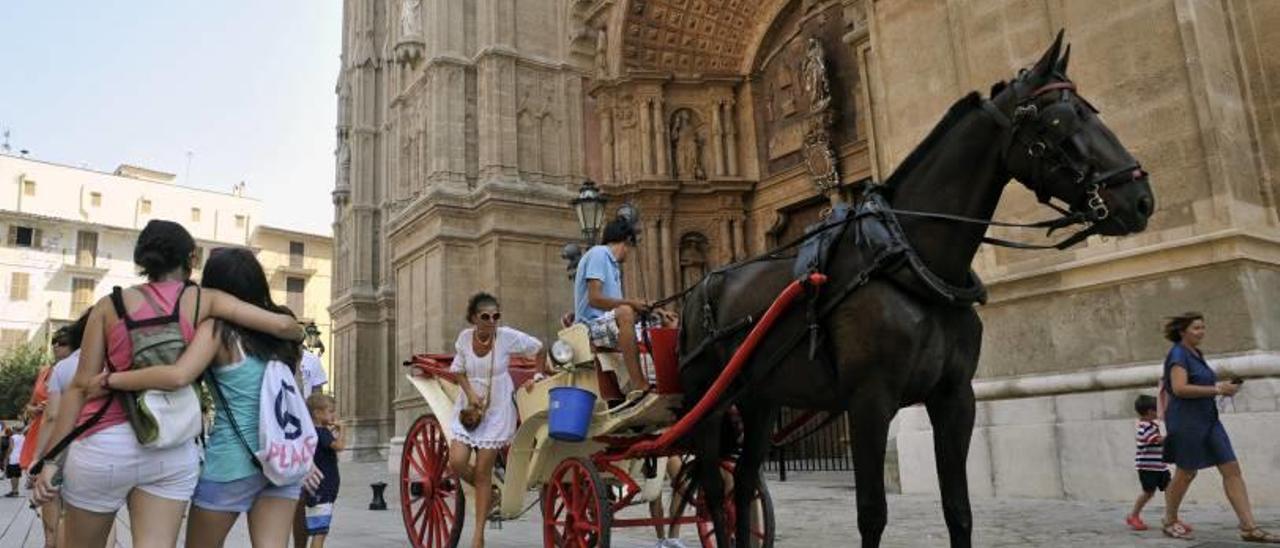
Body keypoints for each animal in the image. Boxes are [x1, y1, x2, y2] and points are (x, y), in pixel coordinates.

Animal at [680, 31, 1162, 548]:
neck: (907, 259)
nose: (1141, 199)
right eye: (1060, 120)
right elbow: (871, 512)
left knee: (744, 483)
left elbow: (959, 510)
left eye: (1092, 109)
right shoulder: (869, 401)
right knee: (714, 490)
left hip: (761, 398)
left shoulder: (955, 397)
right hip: (708, 402)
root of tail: (701, 285)